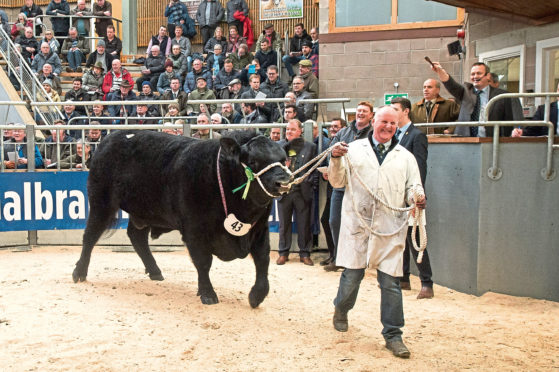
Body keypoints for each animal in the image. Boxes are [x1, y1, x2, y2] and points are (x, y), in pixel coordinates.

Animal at [72, 129, 290, 306]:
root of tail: (112, 137)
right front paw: (208, 294)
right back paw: (79, 272)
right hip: (101, 202)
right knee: (90, 236)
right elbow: (203, 262)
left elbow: (263, 259)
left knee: (137, 236)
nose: (283, 182)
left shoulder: (259, 229)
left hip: (144, 211)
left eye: (284, 160)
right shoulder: (195, 230)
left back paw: (155, 271)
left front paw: (257, 296)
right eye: (253, 162)